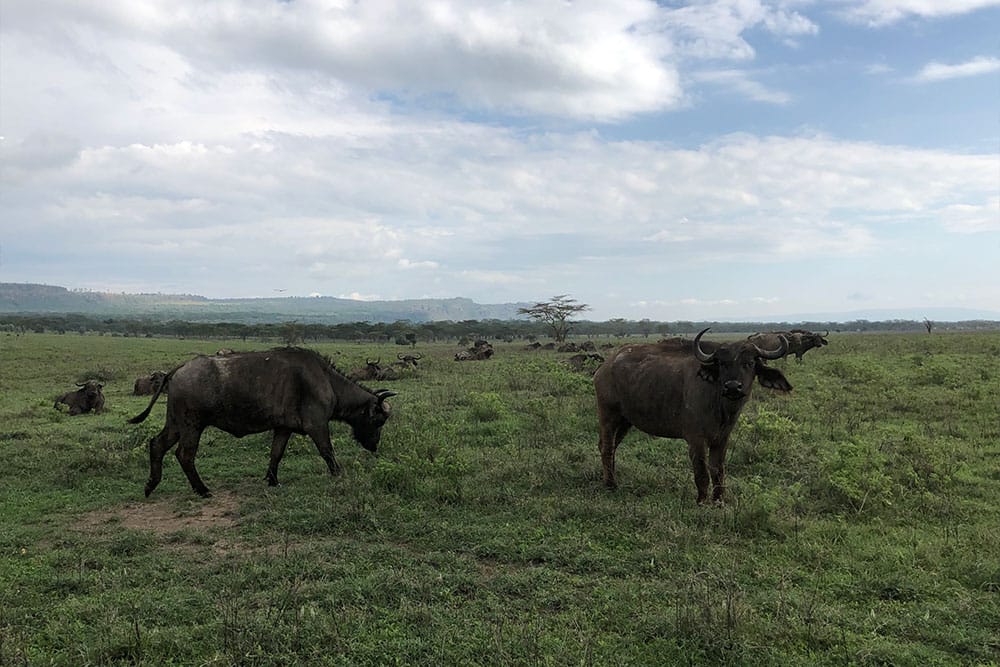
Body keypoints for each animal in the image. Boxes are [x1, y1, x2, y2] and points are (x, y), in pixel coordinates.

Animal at [128, 347, 397, 498]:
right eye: (379, 421)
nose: (374, 446)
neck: (327, 381)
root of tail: (179, 369)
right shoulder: (317, 426)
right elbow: (327, 452)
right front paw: (338, 474)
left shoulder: (283, 428)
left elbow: (276, 454)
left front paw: (272, 479)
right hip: (192, 427)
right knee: (184, 455)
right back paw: (202, 489)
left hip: (176, 425)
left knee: (157, 445)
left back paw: (150, 485)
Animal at [593, 329, 790, 505]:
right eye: (722, 364)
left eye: (749, 363)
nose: (733, 387)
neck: (720, 406)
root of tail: (604, 367)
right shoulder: (696, 440)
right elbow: (702, 472)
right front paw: (701, 501)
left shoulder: (722, 439)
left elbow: (718, 470)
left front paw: (718, 501)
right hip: (608, 416)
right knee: (607, 448)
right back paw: (611, 484)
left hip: (625, 421)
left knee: (610, 446)